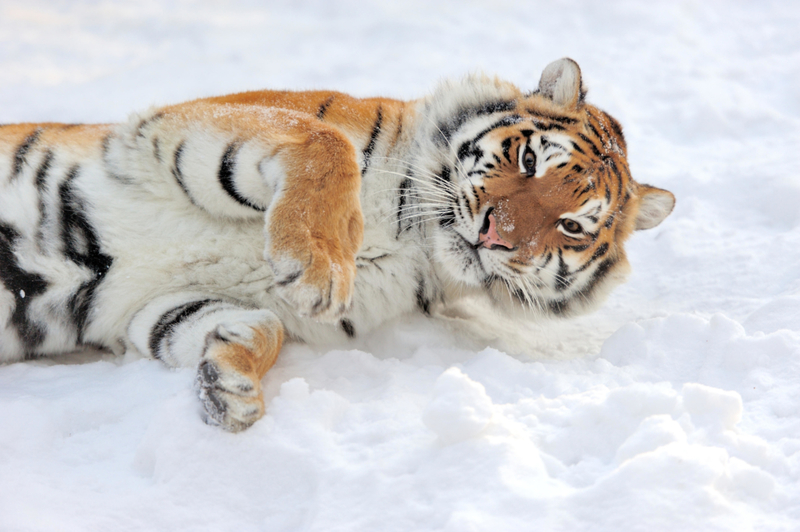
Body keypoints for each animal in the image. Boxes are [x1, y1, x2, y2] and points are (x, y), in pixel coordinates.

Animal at [0, 59, 676, 432]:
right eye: (531, 160)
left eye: (572, 227)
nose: (495, 237)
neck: (413, 239)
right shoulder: (175, 129)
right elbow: (325, 141)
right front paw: (318, 265)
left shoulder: (142, 306)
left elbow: (256, 326)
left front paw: (231, 388)